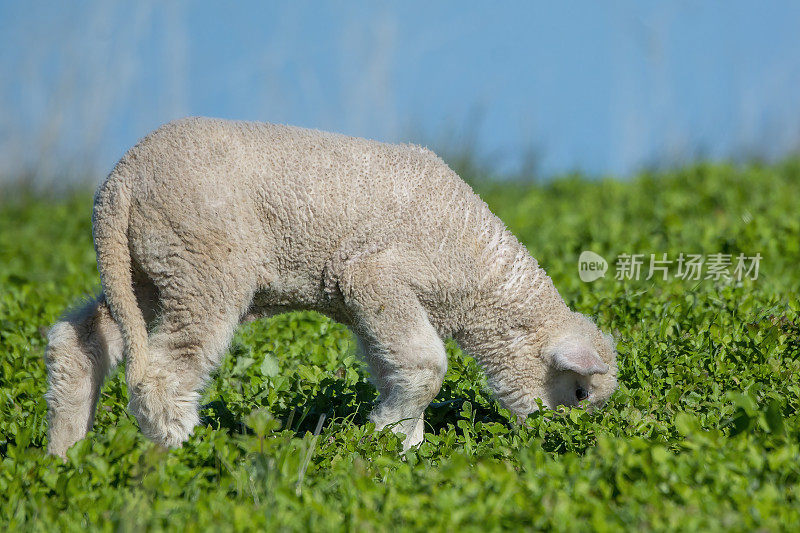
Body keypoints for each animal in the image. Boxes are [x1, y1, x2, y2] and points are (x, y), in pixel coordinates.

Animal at [43, 117, 620, 458]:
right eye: (579, 391)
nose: (556, 441)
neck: (476, 273)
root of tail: (119, 183)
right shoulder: (377, 275)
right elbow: (427, 364)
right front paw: (392, 435)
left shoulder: (365, 300)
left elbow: (396, 367)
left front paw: (398, 444)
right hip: (200, 264)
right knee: (163, 371)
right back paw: (175, 449)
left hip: (145, 268)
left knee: (80, 340)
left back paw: (65, 452)